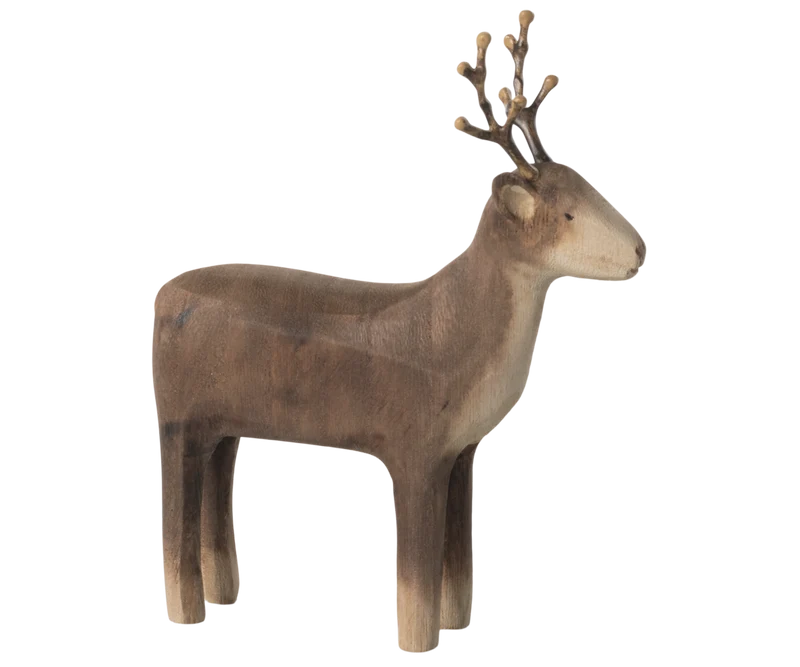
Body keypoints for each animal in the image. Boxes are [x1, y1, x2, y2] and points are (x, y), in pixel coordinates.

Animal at [151, 9, 646, 654]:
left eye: (591, 188)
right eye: (566, 213)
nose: (639, 250)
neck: (457, 340)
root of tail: (162, 299)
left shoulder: (460, 450)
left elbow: (457, 560)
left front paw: (455, 625)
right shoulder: (413, 444)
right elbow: (414, 573)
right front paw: (416, 641)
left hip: (223, 424)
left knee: (216, 479)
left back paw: (228, 598)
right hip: (178, 417)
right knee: (176, 516)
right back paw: (187, 614)